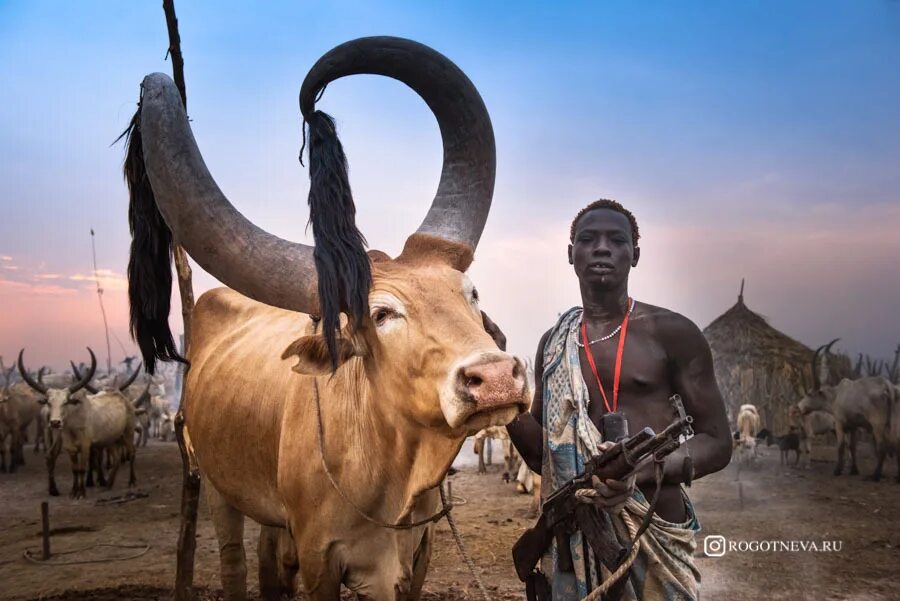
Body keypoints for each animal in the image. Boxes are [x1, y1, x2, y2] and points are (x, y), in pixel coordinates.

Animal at [126, 38, 536, 600]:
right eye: (381, 314)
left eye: (470, 293)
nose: (495, 379)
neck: (387, 476)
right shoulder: (320, 556)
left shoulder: (417, 555)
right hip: (215, 486)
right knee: (235, 561)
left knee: (269, 561)